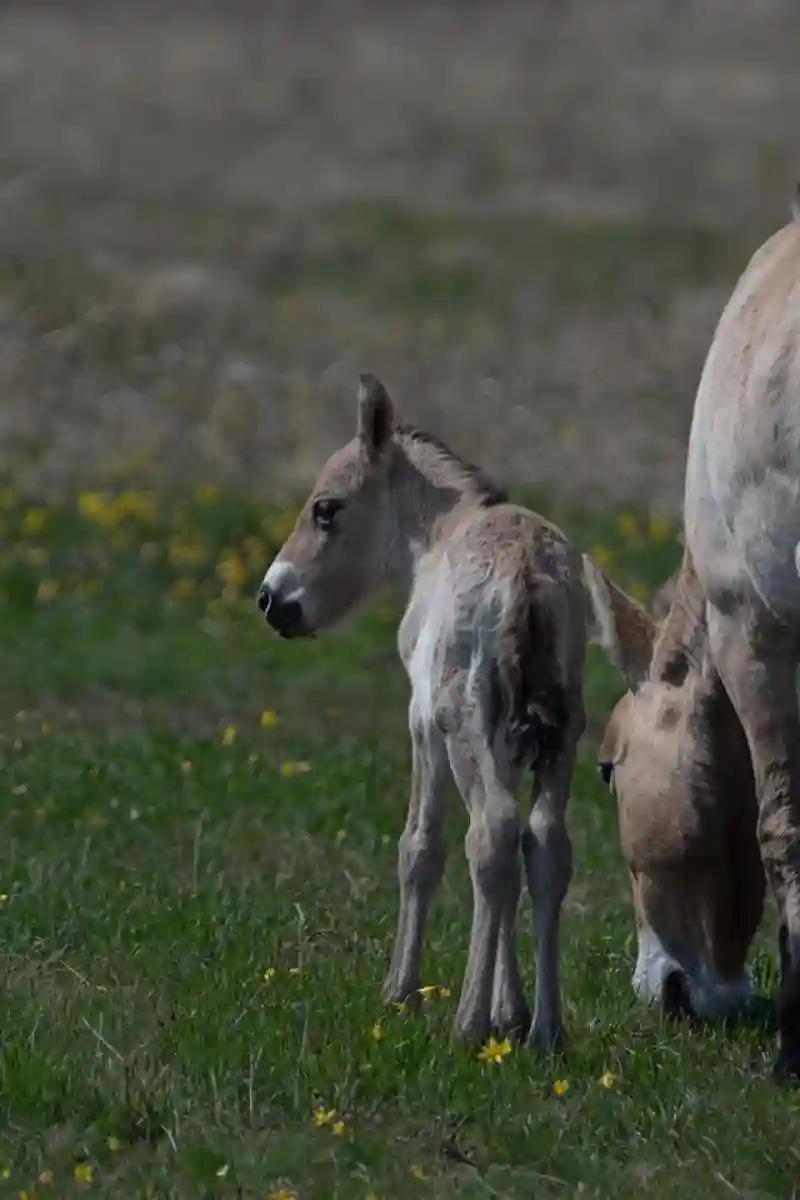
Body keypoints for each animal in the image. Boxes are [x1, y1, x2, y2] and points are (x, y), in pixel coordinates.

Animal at [260, 374, 585, 1051]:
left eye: (326, 508)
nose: (271, 600)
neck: (442, 534)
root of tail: (529, 580)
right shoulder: (516, 743)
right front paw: (511, 1011)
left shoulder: (421, 721)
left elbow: (419, 848)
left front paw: (400, 993)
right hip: (563, 735)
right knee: (544, 844)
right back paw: (546, 1029)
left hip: (464, 725)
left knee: (490, 835)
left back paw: (466, 1024)